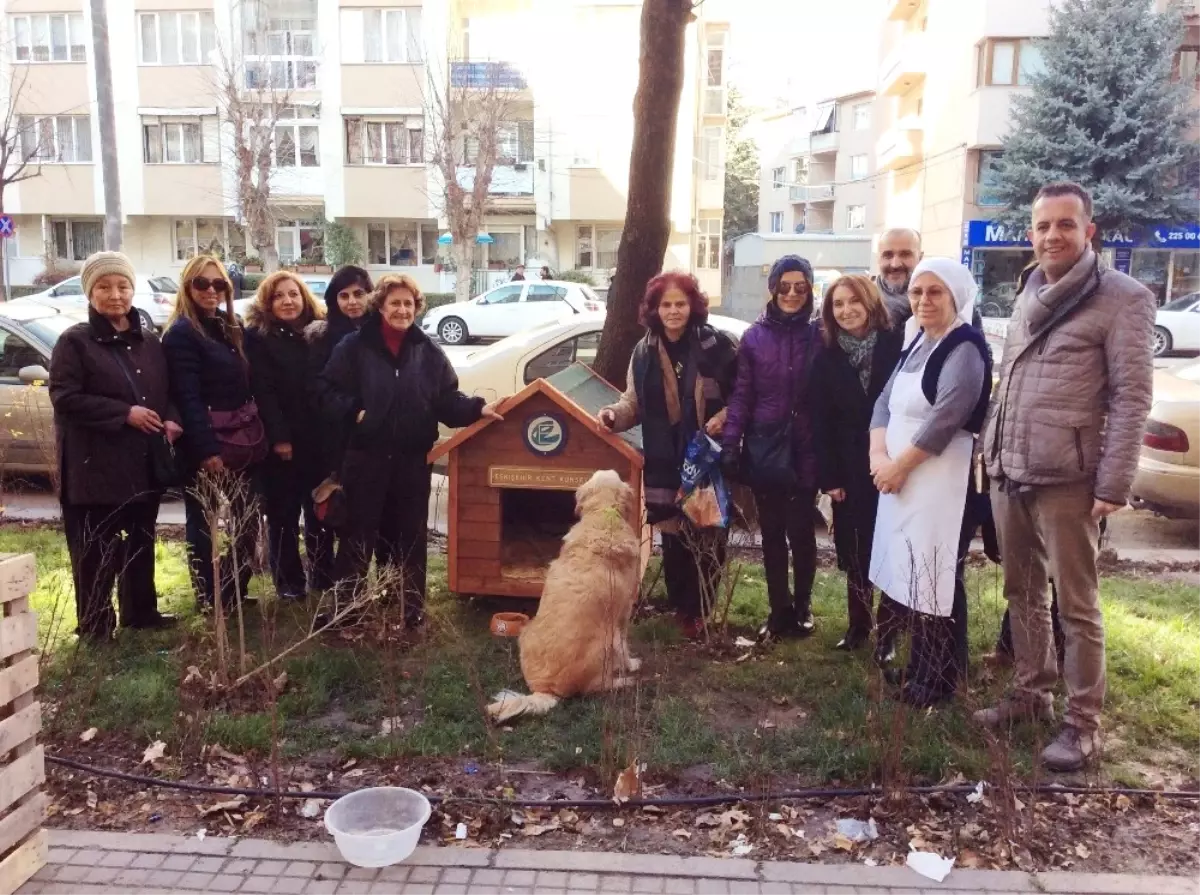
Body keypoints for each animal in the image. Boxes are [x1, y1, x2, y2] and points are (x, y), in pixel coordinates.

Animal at [484, 467, 643, 719]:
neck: (602, 514)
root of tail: (546, 689)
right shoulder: (624, 613)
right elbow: (626, 648)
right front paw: (632, 664)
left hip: (526, 630)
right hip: (608, 640)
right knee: (596, 687)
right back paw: (624, 681)